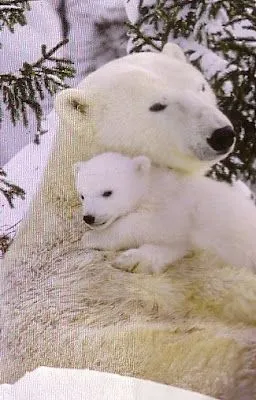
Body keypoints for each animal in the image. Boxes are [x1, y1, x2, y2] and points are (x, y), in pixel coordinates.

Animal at [73, 152, 256, 274]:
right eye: (82, 195)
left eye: (107, 192)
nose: (89, 217)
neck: (152, 185)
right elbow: (174, 246)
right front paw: (132, 260)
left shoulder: (175, 208)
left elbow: (145, 224)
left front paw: (91, 238)